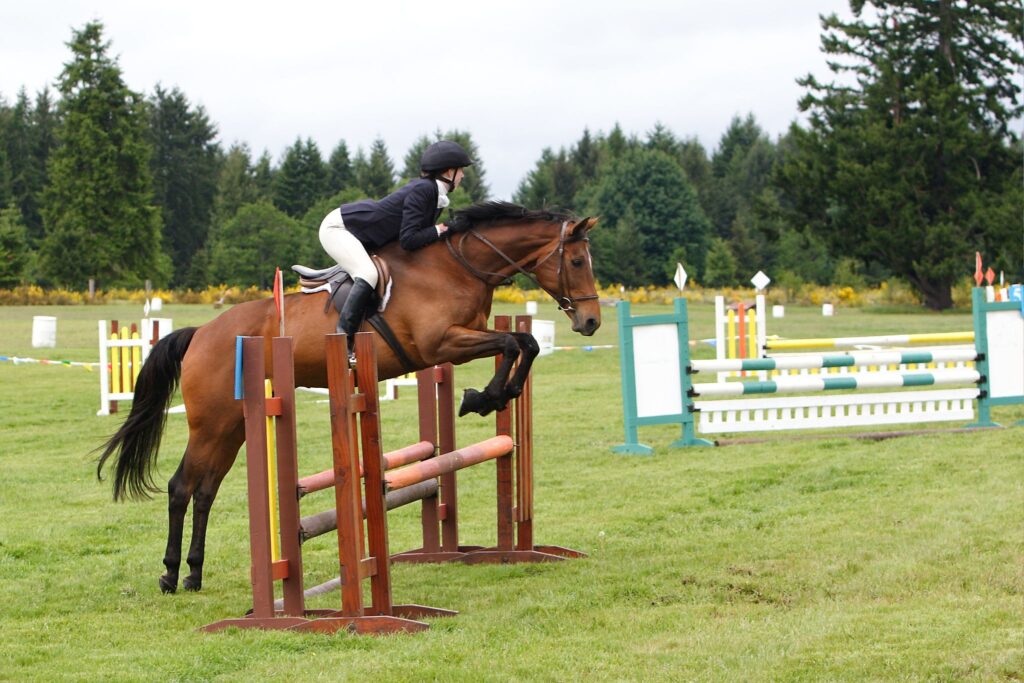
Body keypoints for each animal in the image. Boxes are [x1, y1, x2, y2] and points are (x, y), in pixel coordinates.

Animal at [96, 201, 598, 593]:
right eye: (577, 262)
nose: (590, 322)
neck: (456, 266)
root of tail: (201, 332)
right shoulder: (442, 344)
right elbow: (514, 344)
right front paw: (484, 397)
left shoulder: (462, 340)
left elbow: (525, 344)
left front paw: (497, 394)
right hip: (211, 422)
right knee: (182, 487)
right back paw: (169, 575)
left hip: (233, 426)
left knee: (205, 491)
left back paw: (193, 574)